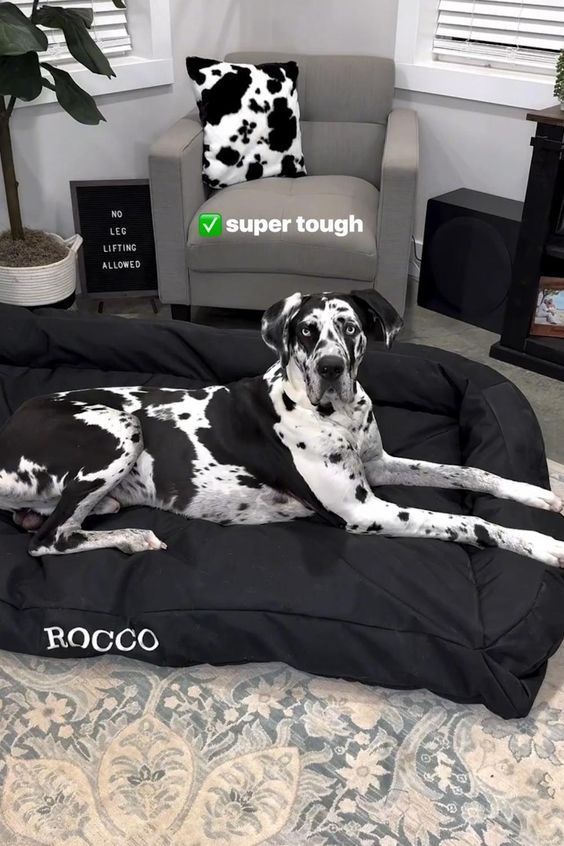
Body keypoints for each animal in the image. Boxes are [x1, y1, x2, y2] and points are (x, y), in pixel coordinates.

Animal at [0, 294, 560, 568]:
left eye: (350, 327)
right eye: (306, 331)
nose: (332, 368)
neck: (334, 413)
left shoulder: (379, 465)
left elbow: (471, 472)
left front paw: (533, 493)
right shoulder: (363, 511)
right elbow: (470, 524)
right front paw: (540, 544)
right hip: (122, 427)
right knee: (48, 542)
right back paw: (135, 538)